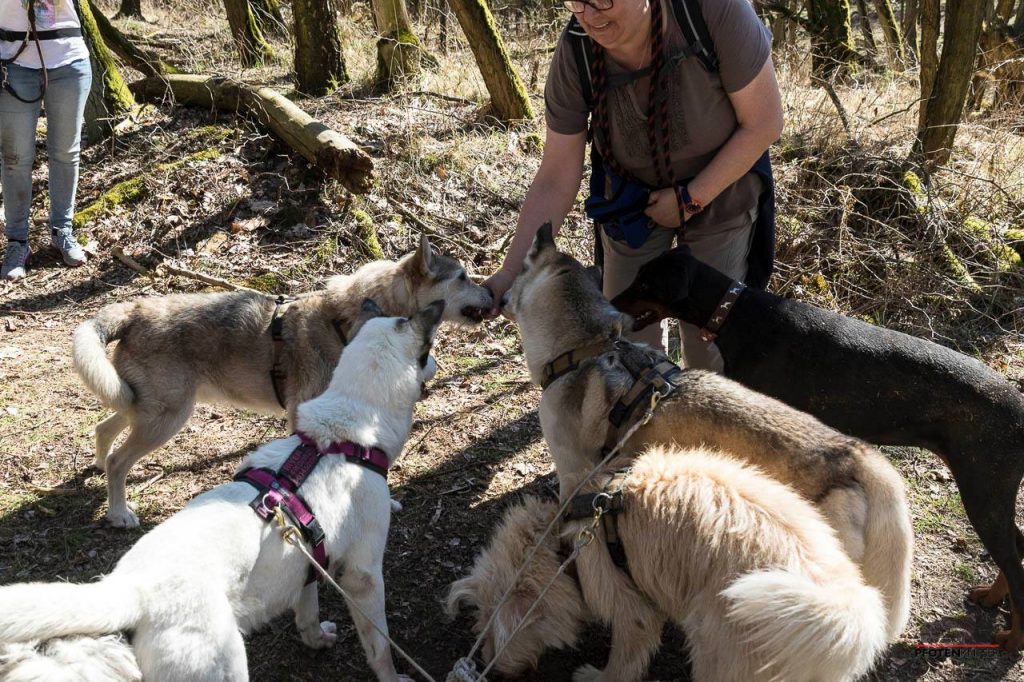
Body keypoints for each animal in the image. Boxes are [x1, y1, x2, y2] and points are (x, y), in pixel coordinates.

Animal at [0, 299, 443, 681]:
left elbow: (308, 614)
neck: (341, 436)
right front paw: (393, 677)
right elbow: (380, 648)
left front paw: (317, 640)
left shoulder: (309, 564)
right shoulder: (362, 577)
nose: (438, 365)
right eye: (428, 350)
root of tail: (132, 590)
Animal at [73, 235, 492, 527]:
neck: (344, 320)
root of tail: (134, 309)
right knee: (119, 461)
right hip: (166, 417)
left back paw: (98, 468)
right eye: (463, 277)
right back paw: (119, 512)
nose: (493, 291)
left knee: (103, 428)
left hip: (142, 406)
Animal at [448, 447, 890, 682]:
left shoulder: (632, 612)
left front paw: (595, 676)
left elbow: (622, 662)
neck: (562, 543)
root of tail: (849, 610)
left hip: (718, 646)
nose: (486, 663)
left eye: (491, 625)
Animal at [612, 244, 1024, 651]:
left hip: (983, 490)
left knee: (1014, 561)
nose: (612, 303)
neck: (734, 313)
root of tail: (1019, 410)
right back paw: (992, 597)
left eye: (645, 281)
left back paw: (1012, 639)